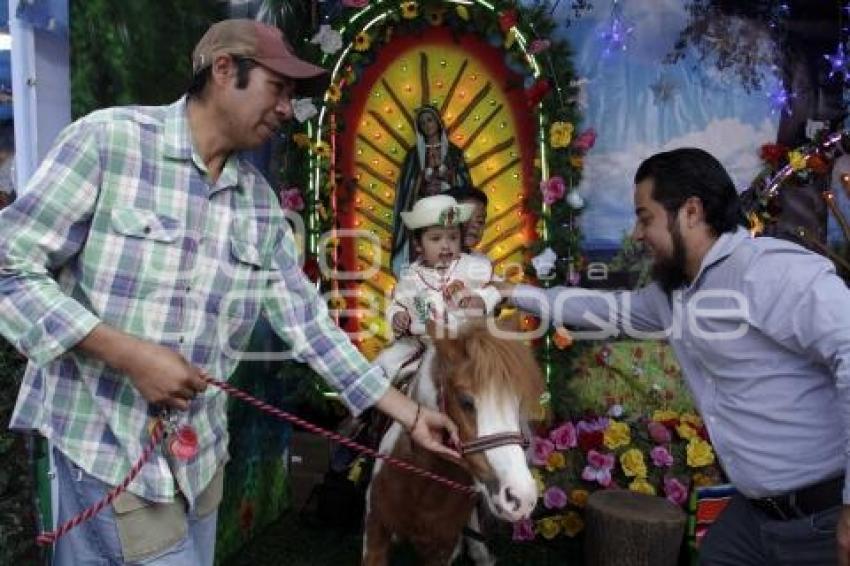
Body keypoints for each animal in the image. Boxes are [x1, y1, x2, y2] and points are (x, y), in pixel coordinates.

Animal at [360, 320, 544, 566]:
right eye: (465, 401)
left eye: (518, 404)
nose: (521, 499)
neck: (420, 487)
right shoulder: (375, 530)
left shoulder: (440, 549)